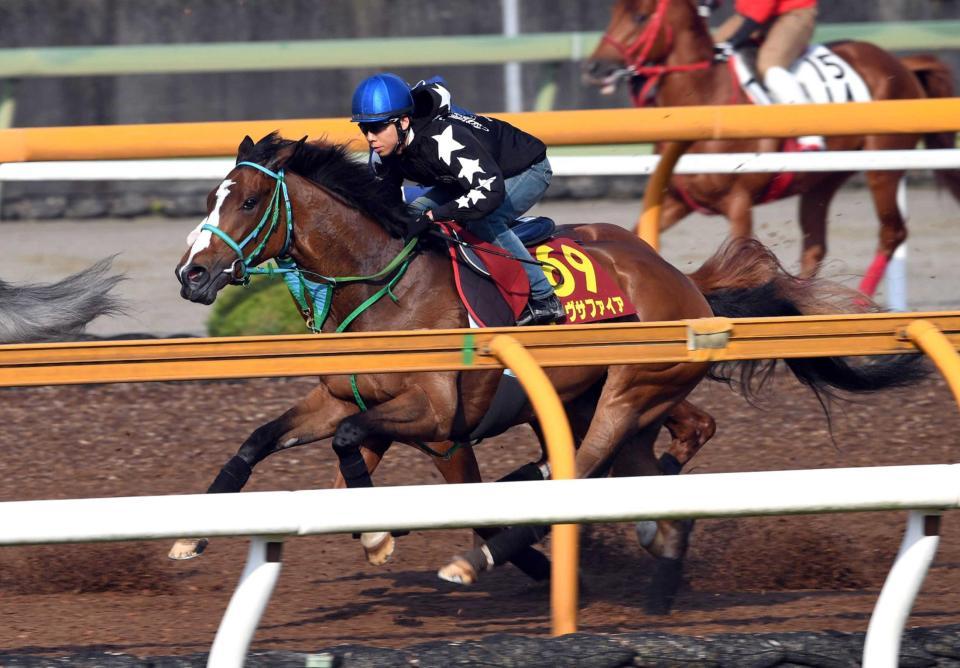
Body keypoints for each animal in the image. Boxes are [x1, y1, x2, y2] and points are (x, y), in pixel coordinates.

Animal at [172, 133, 924, 612]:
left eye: (245, 201)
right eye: (210, 198)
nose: (191, 274)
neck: (386, 284)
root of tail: (685, 284)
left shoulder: (440, 420)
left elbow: (362, 446)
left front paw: (384, 534)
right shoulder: (340, 397)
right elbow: (263, 439)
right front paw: (188, 534)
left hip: (626, 393)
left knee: (581, 466)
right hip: (600, 405)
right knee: (648, 462)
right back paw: (653, 581)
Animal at [580, 0, 960, 298]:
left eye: (641, 16)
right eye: (614, 11)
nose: (595, 67)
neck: (707, 96)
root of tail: (901, 64)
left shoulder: (739, 203)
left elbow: (741, 252)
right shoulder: (676, 200)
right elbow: (636, 235)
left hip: (882, 166)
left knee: (892, 232)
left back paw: (862, 300)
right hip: (822, 181)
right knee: (815, 247)